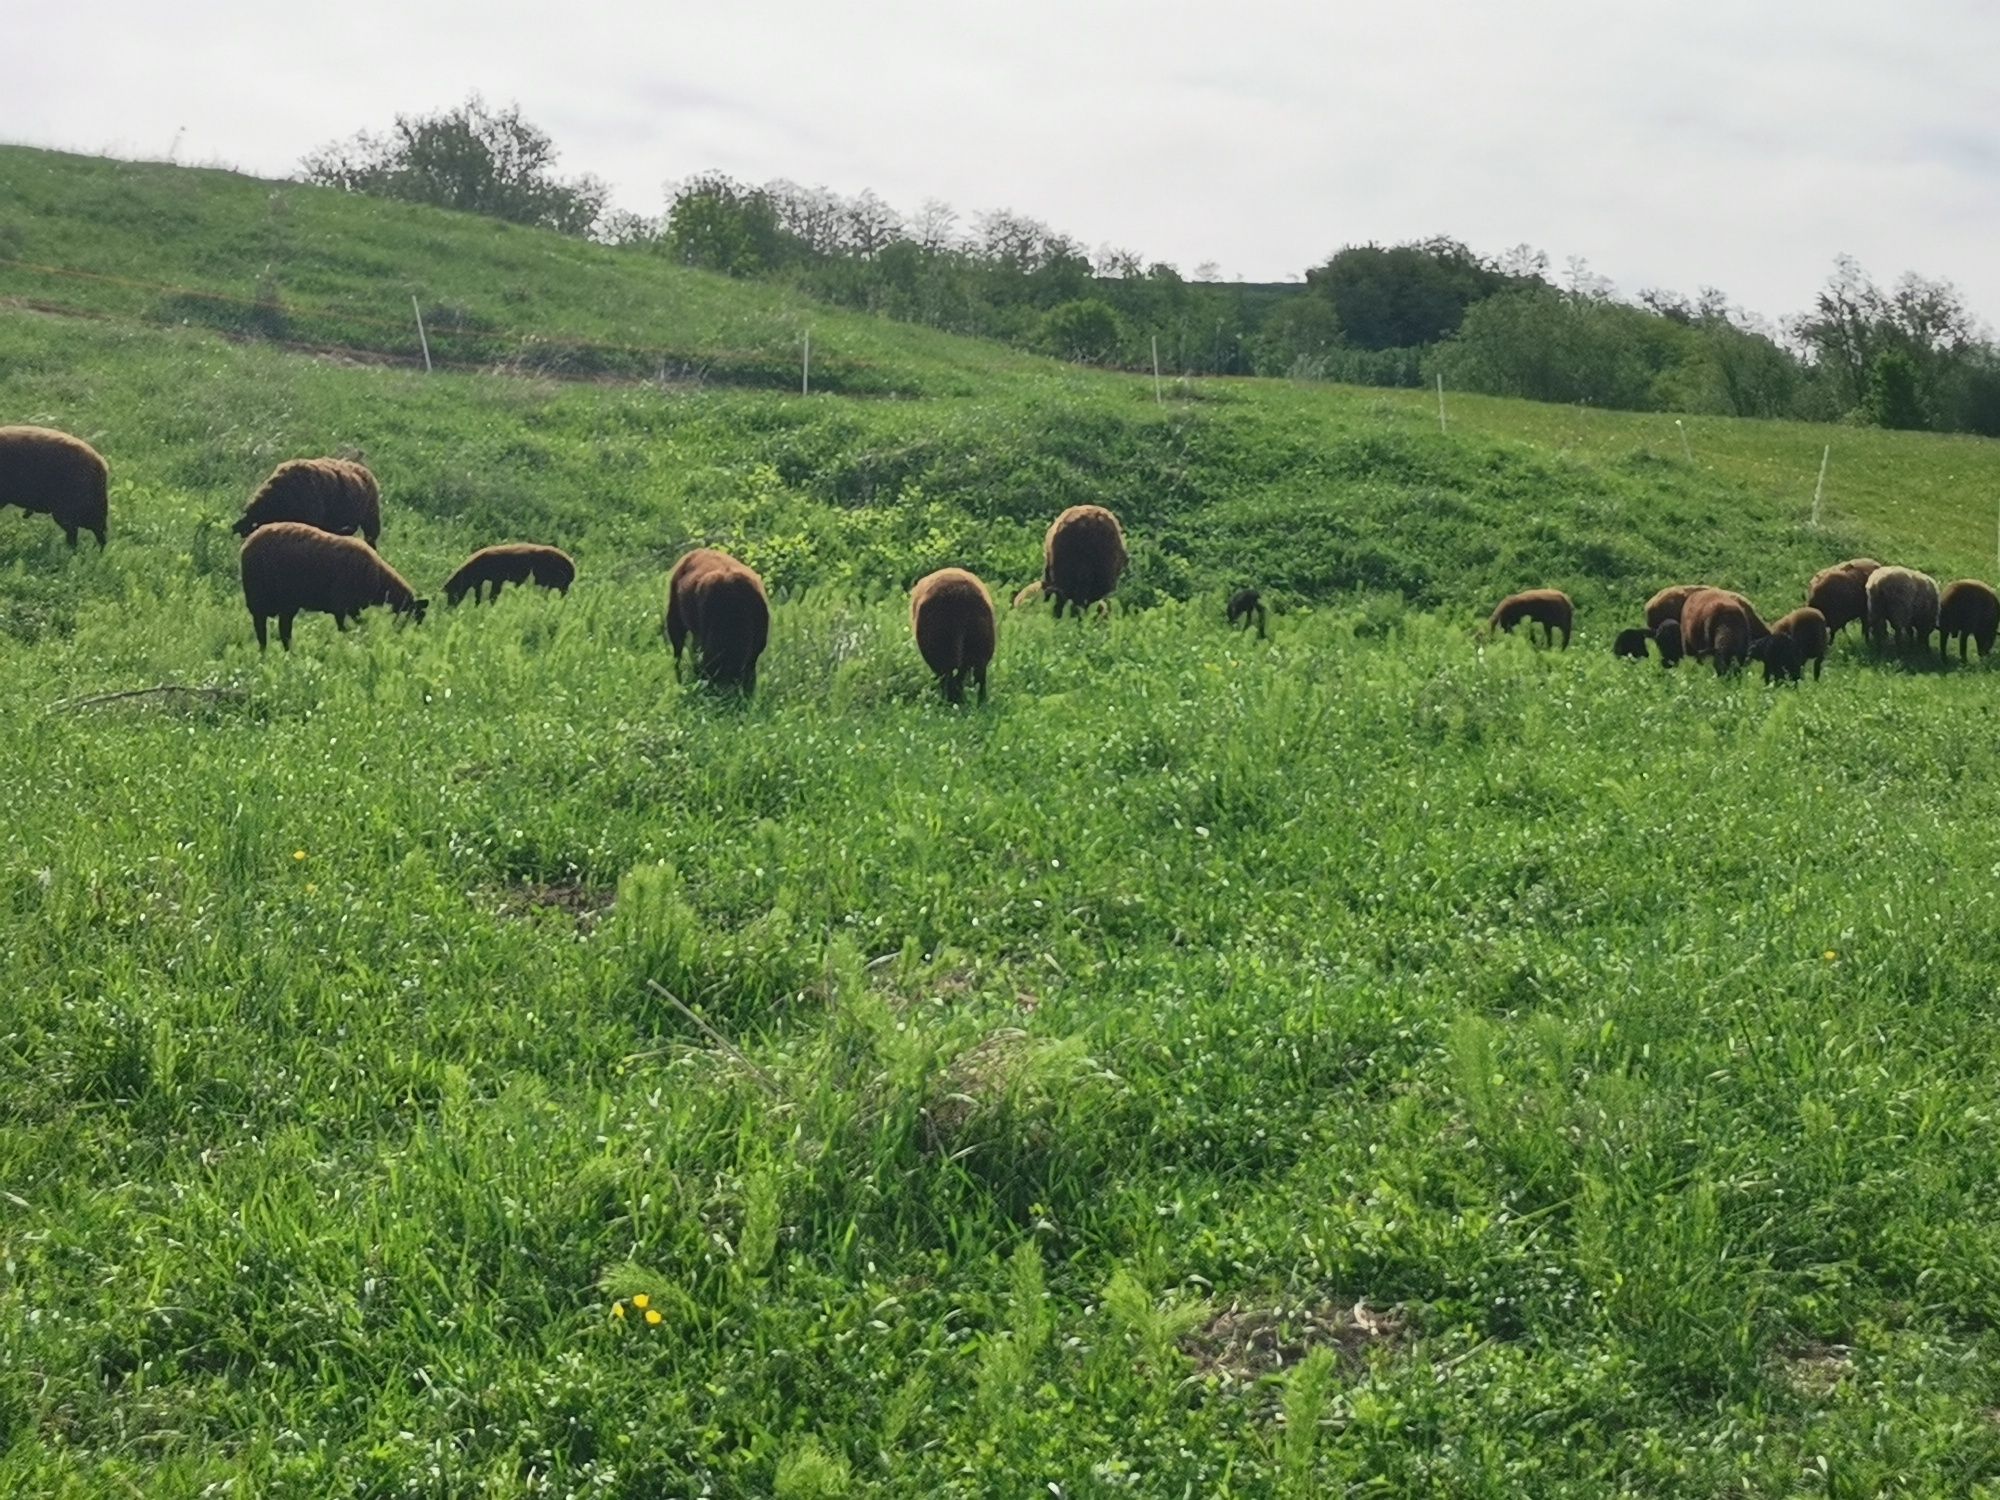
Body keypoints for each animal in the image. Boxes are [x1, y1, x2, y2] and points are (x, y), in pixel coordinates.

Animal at [242, 524, 430, 652]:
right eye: (415, 617)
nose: (410, 638)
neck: (379, 581)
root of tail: (249, 541)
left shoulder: (350, 608)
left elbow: (356, 624)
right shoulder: (342, 605)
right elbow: (348, 627)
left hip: (287, 605)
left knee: (283, 632)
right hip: (258, 600)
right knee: (262, 632)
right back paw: (265, 655)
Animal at [448, 544, 580, 608]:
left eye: (453, 593)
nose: (449, 608)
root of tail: (572, 567)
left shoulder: (497, 579)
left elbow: (491, 595)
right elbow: (479, 596)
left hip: (556, 584)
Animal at [912, 568, 996, 704]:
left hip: (939, 635)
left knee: (947, 670)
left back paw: (950, 699)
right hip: (980, 634)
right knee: (978, 671)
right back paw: (979, 699)